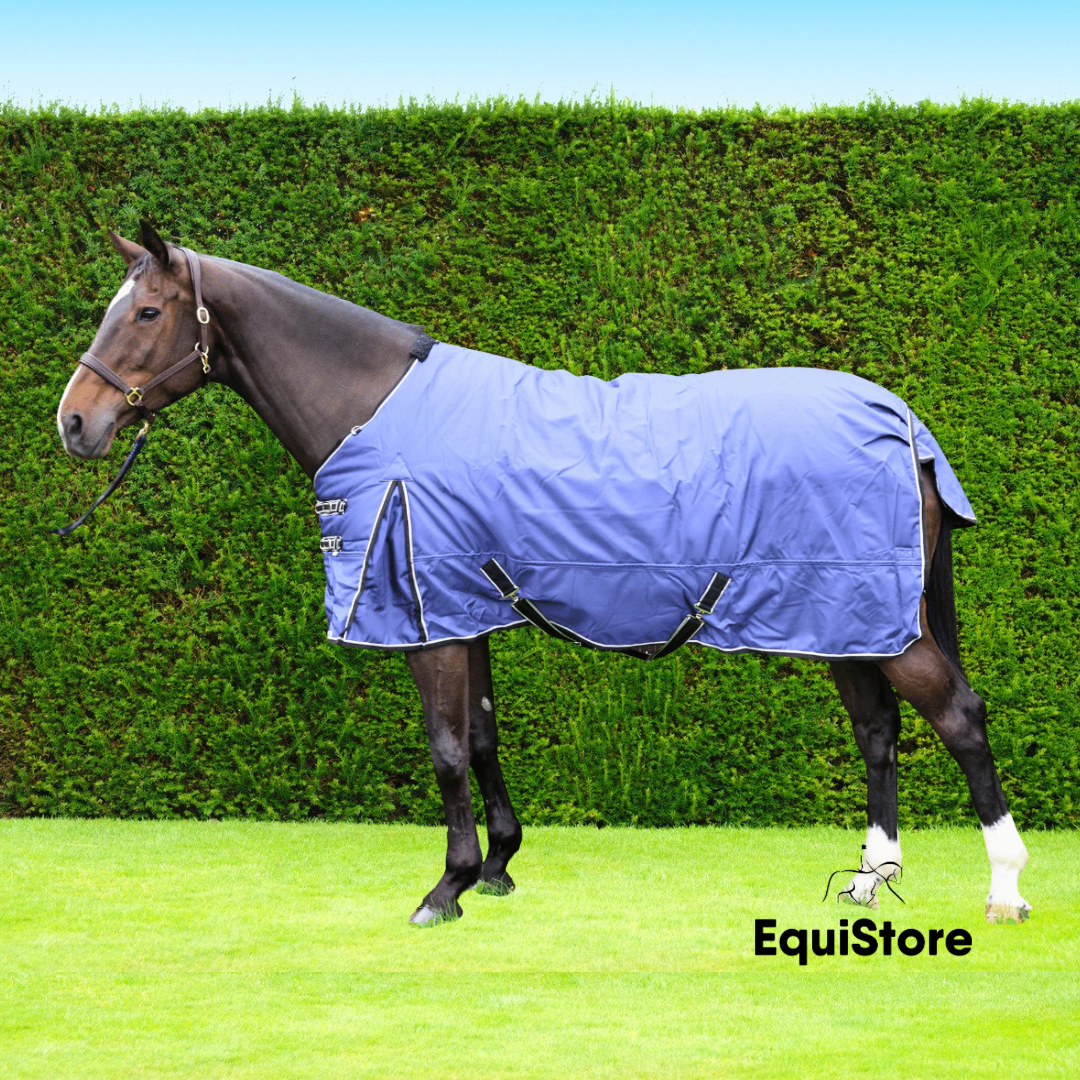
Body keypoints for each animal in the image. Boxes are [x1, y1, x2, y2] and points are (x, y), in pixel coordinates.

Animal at [55, 222, 1032, 926]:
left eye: (146, 315)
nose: (74, 422)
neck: (378, 409)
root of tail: (901, 420)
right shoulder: (467, 609)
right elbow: (483, 736)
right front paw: (497, 867)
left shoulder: (429, 620)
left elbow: (447, 747)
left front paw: (443, 889)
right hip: (846, 618)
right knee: (879, 734)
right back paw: (870, 881)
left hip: (881, 622)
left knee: (959, 718)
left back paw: (1006, 887)